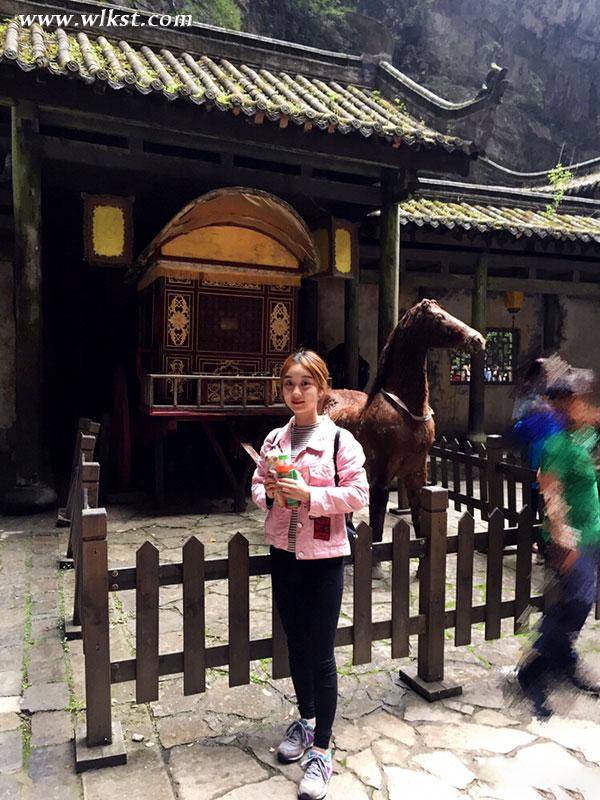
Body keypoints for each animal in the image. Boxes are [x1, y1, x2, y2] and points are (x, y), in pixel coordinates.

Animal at [323, 298, 485, 544]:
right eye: (439, 318)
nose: (478, 339)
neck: (408, 411)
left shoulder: (416, 473)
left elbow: (419, 524)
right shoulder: (380, 478)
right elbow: (376, 534)